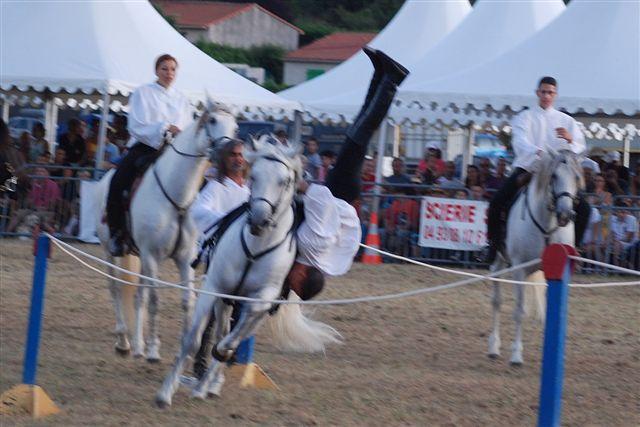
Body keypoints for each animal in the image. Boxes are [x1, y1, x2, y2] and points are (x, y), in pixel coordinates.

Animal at [97, 102, 240, 362]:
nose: (229, 154)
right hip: (110, 250)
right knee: (115, 288)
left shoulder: (183, 258)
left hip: (140, 257)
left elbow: (187, 302)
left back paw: (137, 345)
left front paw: (187, 348)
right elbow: (155, 300)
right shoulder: (152, 255)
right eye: (212, 120)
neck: (177, 196)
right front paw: (154, 349)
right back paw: (124, 341)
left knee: (138, 295)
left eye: (235, 127)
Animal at [156, 136, 342, 408]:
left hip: (255, 312)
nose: (258, 221)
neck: (256, 248)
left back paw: (209, 383)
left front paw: (221, 356)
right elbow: (194, 340)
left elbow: (234, 337)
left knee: (235, 335)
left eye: (285, 181)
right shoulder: (215, 289)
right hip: (224, 302)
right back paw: (204, 384)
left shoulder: (262, 298)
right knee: (221, 329)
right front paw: (165, 392)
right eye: (253, 176)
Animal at [490, 150, 584, 364]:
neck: (546, 224)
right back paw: (493, 347)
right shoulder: (518, 269)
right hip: (499, 262)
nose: (565, 214)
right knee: (497, 300)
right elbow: (519, 311)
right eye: (554, 176)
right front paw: (516, 355)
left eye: (576, 177)